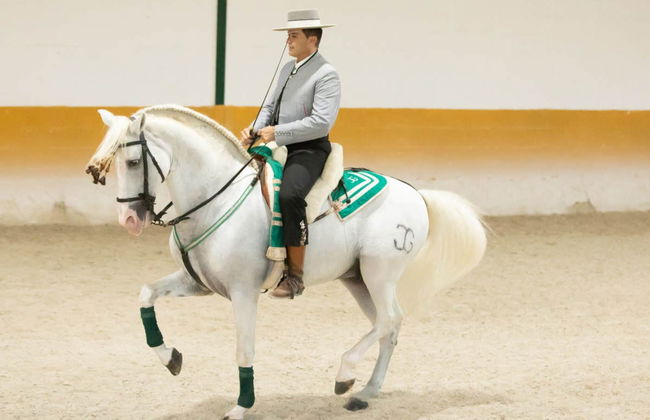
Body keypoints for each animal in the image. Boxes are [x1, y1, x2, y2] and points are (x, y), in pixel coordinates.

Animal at [86, 105, 487, 419]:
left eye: (133, 161)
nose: (128, 220)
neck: (218, 199)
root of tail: (416, 194)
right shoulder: (196, 284)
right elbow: (146, 295)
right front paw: (170, 358)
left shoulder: (243, 292)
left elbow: (244, 347)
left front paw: (241, 406)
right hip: (357, 278)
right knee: (388, 326)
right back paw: (366, 392)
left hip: (379, 273)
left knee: (389, 320)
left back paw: (345, 376)